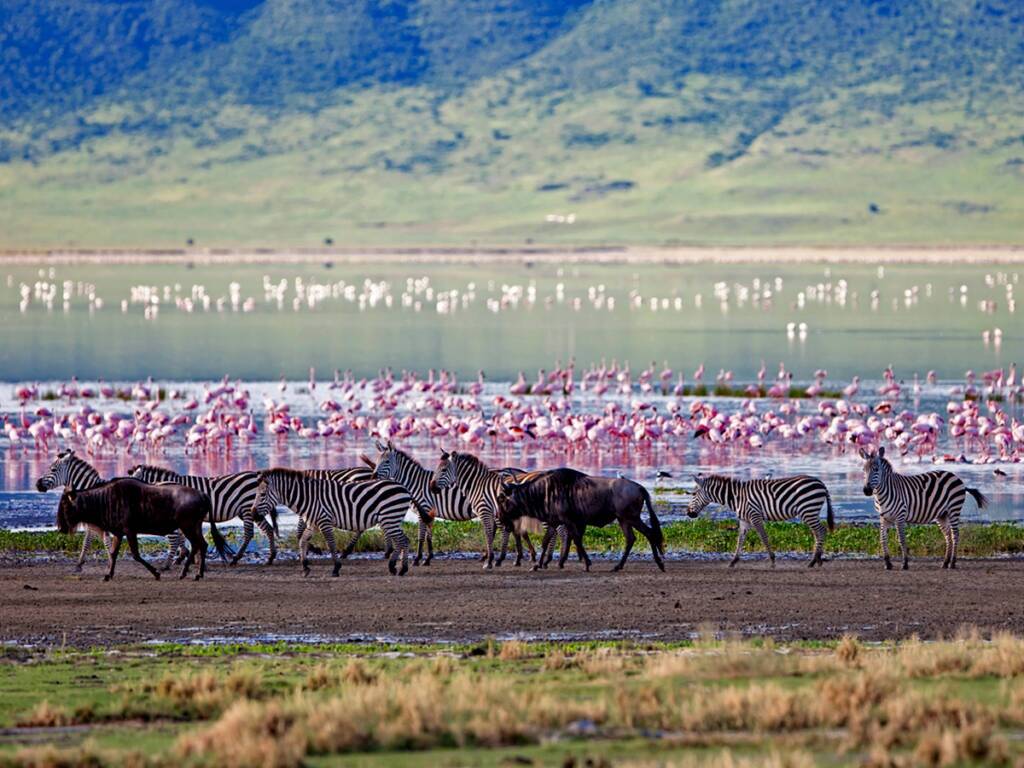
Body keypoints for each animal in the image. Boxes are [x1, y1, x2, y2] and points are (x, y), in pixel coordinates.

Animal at [252, 468, 416, 576]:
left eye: (262, 494)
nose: (253, 514)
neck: (308, 497)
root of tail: (403, 487)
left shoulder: (324, 521)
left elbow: (331, 544)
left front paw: (336, 568)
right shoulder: (313, 523)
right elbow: (302, 541)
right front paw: (305, 567)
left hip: (390, 518)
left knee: (403, 541)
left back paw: (401, 569)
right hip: (390, 519)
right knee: (403, 541)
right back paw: (395, 567)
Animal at [688, 473, 834, 567]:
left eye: (693, 494)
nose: (688, 513)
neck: (736, 497)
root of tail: (821, 483)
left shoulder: (755, 516)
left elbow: (763, 537)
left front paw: (772, 560)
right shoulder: (744, 520)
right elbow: (740, 539)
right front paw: (733, 561)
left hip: (808, 510)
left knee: (821, 530)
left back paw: (813, 561)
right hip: (810, 511)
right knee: (818, 532)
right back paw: (817, 560)